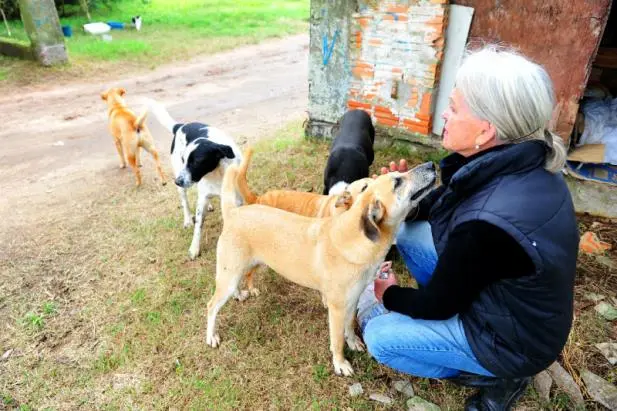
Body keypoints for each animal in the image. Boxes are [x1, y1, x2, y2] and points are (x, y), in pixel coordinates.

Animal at [148, 99, 242, 260]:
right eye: (184, 159)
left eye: (197, 161)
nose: (177, 181)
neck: (216, 173)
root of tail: (181, 126)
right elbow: (198, 225)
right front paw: (194, 248)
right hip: (181, 184)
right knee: (185, 203)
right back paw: (187, 220)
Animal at [206, 160, 434, 376]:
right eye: (397, 182)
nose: (432, 165)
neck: (354, 238)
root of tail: (234, 212)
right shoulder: (337, 309)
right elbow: (337, 341)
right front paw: (340, 364)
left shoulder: (352, 300)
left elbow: (350, 326)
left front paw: (353, 342)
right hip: (229, 276)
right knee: (211, 306)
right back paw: (211, 336)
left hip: (237, 271)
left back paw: (239, 295)